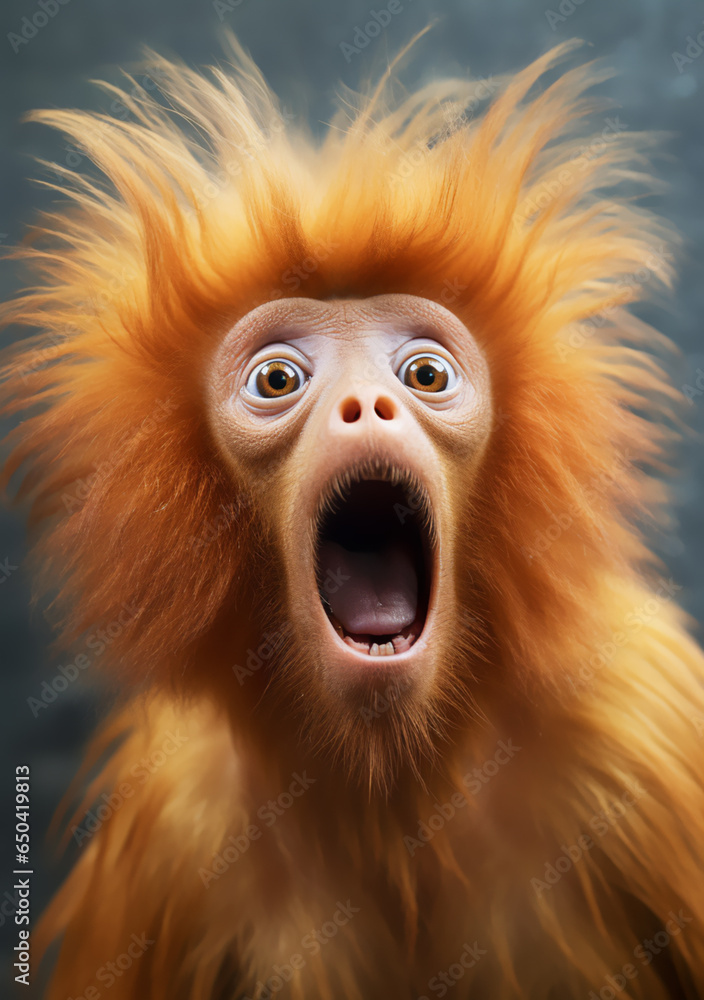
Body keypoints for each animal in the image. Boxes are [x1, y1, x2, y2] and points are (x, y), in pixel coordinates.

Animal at [2, 33, 704, 1000]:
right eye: (277, 380)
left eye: (425, 375)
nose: (367, 403)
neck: (399, 786)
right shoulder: (171, 831)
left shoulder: (645, 722)